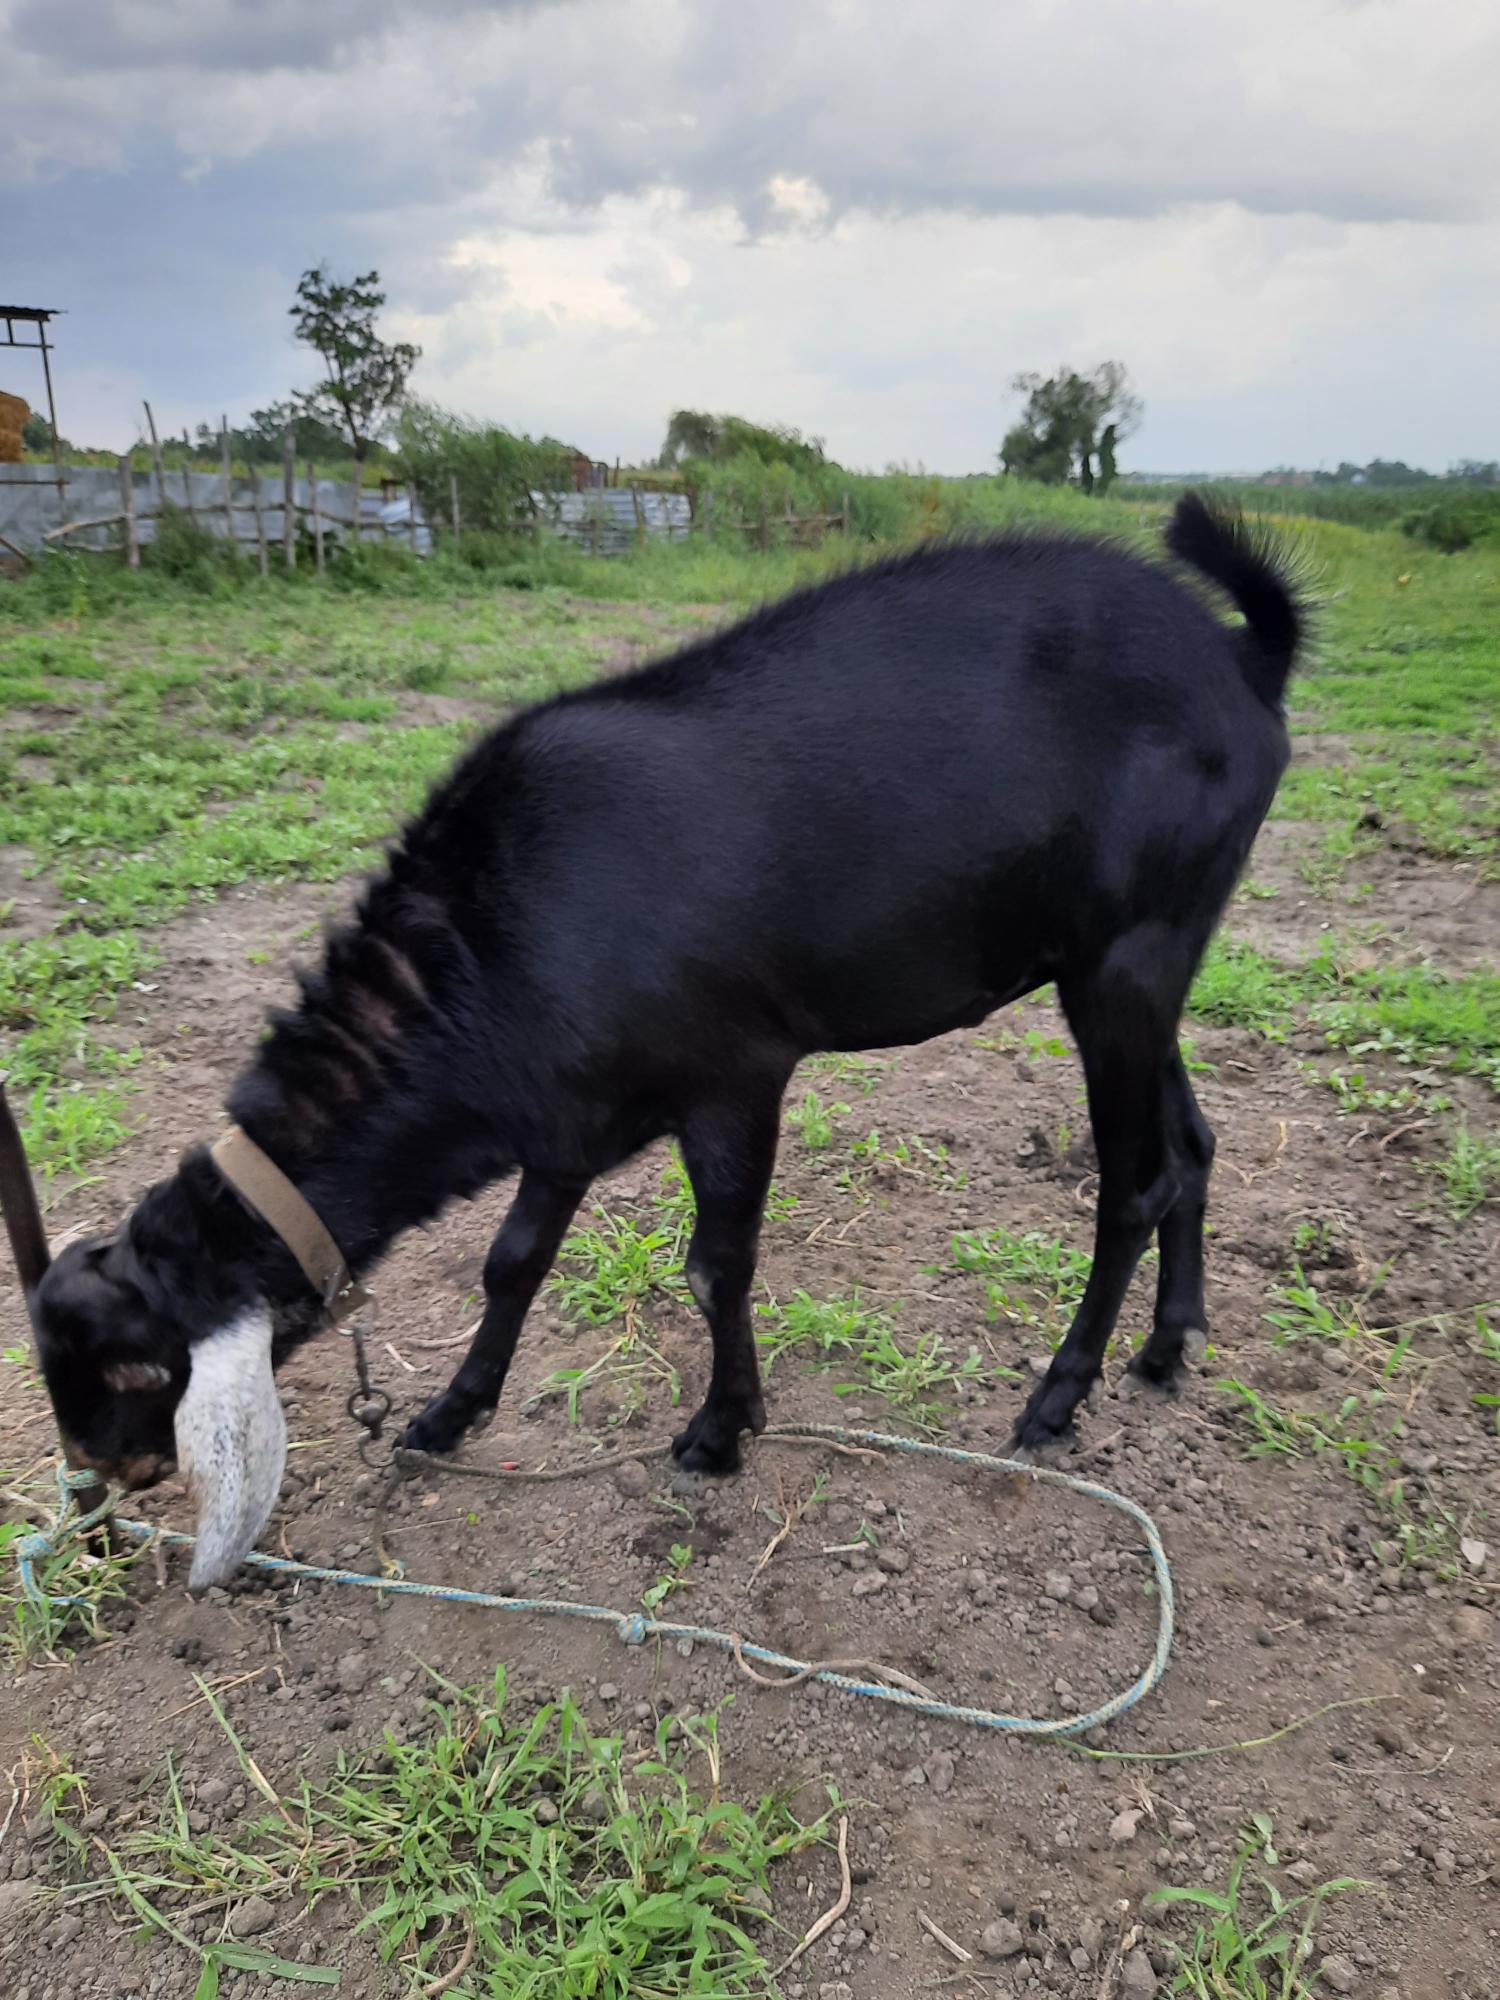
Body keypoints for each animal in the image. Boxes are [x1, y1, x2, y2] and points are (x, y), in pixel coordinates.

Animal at [14, 496, 1304, 1576]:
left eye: (129, 1367)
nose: (104, 1481)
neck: (491, 941)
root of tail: (1246, 658)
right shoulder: (565, 1107)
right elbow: (513, 1257)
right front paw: (450, 1409)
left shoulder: (734, 1072)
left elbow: (714, 1260)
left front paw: (721, 1429)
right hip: (1136, 958)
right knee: (1190, 1143)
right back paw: (1169, 1345)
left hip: (1128, 955)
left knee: (1130, 1184)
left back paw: (1059, 1394)